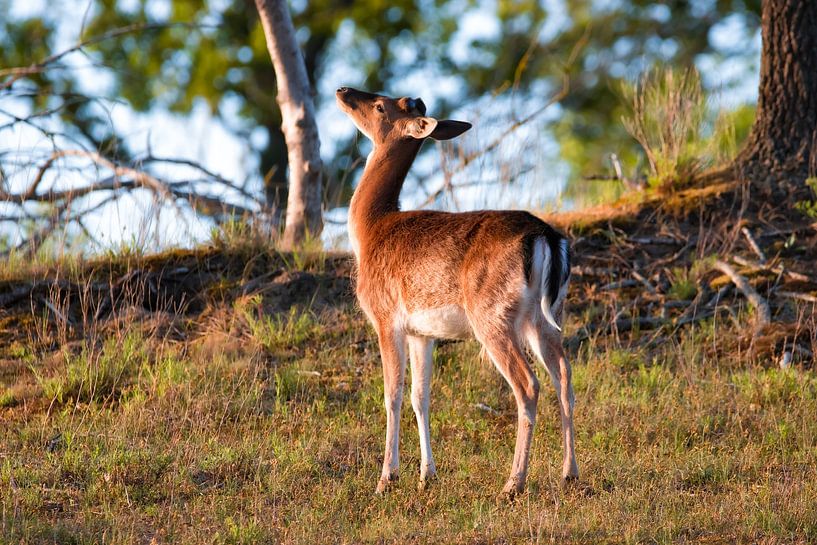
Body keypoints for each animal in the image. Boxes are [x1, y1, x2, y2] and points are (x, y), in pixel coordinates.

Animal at [336, 87, 578, 500]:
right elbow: (420, 397)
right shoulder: (422, 332)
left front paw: (386, 478)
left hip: (492, 314)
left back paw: (513, 483)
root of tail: (546, 237)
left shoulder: (386, 317)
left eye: (381, 105)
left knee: (528, 385)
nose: (342, 91)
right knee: (564, 377)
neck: (368, 233)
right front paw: (426, 475)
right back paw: (570, 474)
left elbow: (392, 395)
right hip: (548, 315)